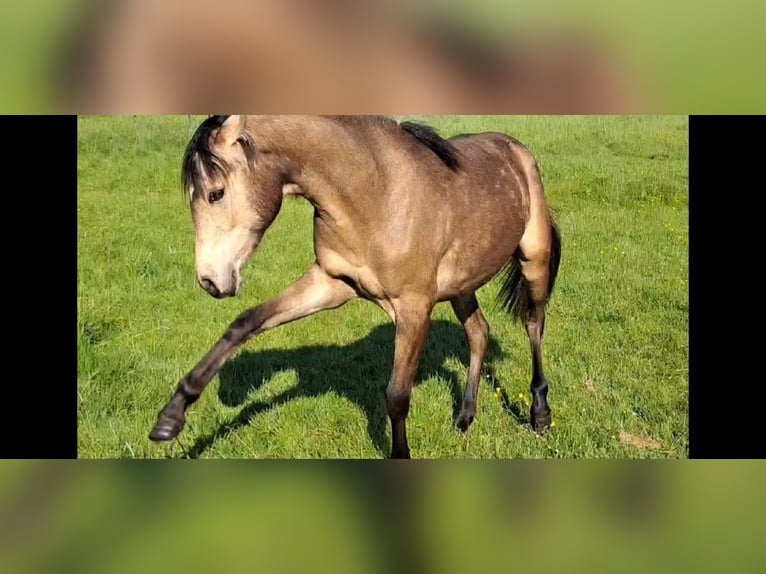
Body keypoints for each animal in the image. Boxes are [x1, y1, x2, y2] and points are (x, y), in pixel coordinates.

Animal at [150, 116, 560, 460]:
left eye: (216, 193)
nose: (210, 281)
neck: (374, 193)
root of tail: (517, 150)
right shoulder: (331, 284)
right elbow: (246, 322)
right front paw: (170, 418)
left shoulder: (413, 306)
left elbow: (397, 395)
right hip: (462, 285)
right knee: (479, 332)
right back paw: (464, 417)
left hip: (533, 262)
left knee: (533, 325)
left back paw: (539, 416)